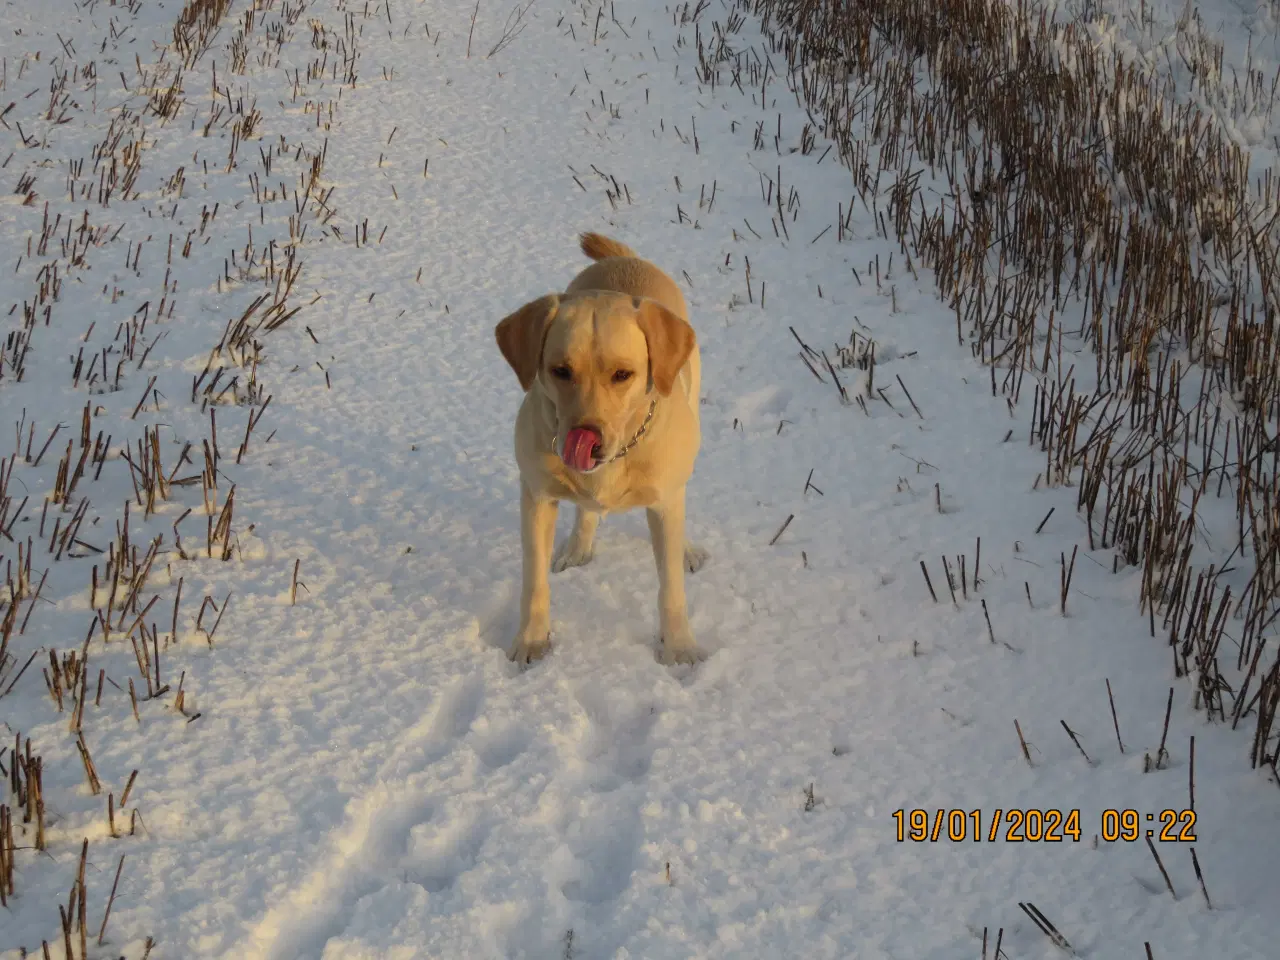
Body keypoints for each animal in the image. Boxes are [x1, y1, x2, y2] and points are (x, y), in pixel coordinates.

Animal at [491, 235, 711, 670]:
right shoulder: (536, 497)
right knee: (586, 511)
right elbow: (534, 582)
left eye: (623, 374)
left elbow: (671, 588)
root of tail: (626, 259)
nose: (585, 437)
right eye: (560, 370)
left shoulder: (664, 504)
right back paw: (578, 545)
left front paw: (678, 647)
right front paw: (531, 640)